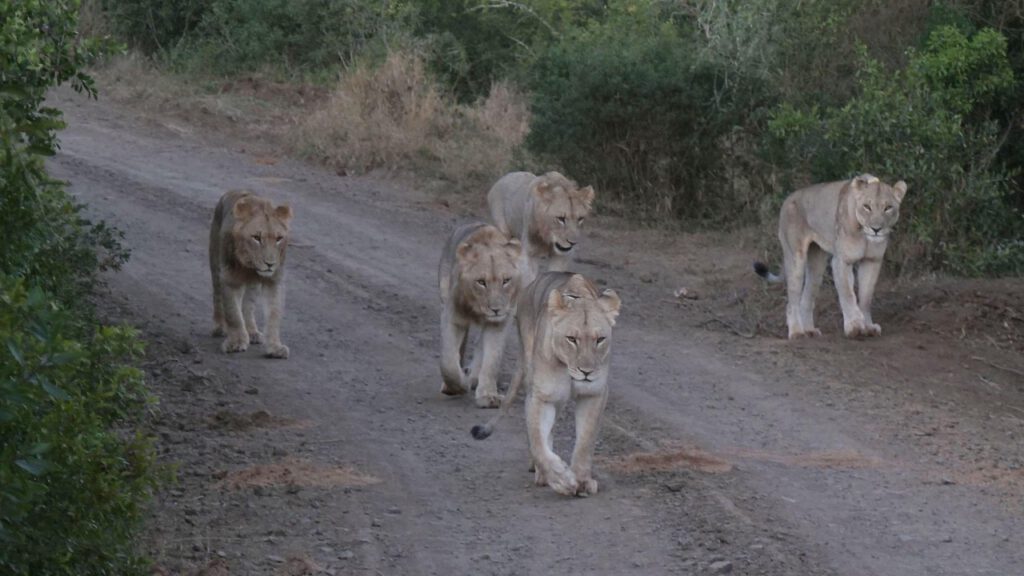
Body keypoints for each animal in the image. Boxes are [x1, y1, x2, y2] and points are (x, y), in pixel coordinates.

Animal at [209, 190, 293, 358]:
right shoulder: (229, 279)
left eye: (279, 238)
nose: (270, 264)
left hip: (253, 286)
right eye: (256, 238)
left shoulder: (274, 282)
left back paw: (252, 332)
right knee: (217, 296)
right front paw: (236, 342)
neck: (250, 267)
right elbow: (233, 314)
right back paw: (219, 327)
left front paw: (275, 347)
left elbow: (274, 315)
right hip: (215, 265)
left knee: (248, 306)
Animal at [438, 222, 524, 408]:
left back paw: (474, 376)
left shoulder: (499, 324)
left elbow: (492, 360)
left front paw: (488, 395)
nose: (496, 309)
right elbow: (448, 361)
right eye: (481, 282)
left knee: (480, 347)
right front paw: (456, 386)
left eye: (506, 280)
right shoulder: (453, 317)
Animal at [472, 272, 621, 497]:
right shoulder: (541, 396)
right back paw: (540, 471)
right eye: (572, 339)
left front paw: (582, 480)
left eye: (600, 339)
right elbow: (538, 442)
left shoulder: (594, 395)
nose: (586, 372)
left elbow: (585, 441)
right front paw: (561, 479)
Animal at [754, 173, 907, 339]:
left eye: (888, 208)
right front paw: (854, 326)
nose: (876, 229)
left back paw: (809, 330)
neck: (865, 235)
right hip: (795, 257)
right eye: (867, 206)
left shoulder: (872, 261)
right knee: (792, 300)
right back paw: (796, 332)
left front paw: (868, 326)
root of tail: (788, 198)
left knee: (807, 297)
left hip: (817, 263)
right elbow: (847, 294)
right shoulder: (841, 261)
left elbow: (866, 297)